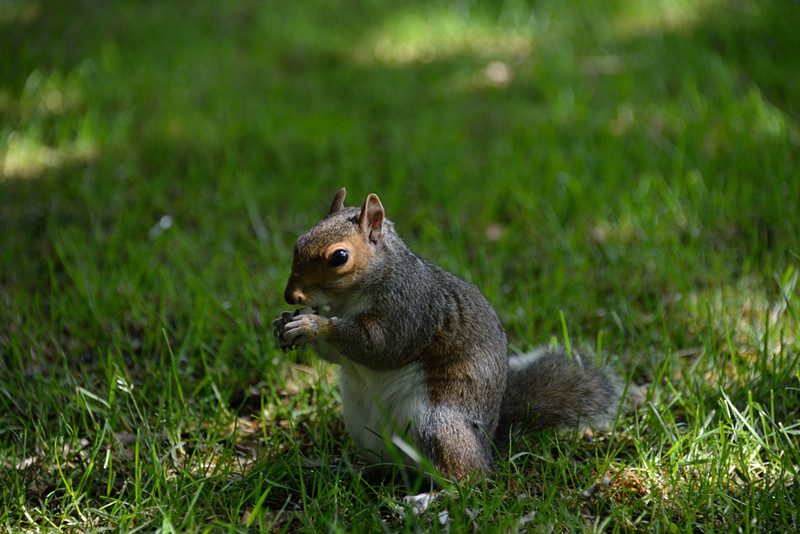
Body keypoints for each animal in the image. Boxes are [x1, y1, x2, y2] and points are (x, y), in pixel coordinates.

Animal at [274, 188, 624, 482]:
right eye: (297, 243)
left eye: (339, 257)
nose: (291, 297)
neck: (348, 300)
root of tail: (487, 448)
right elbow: (338, 354)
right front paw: (285, 323)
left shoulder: (412, 309)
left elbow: (380, 346)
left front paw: (313, 325)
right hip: (362, 426)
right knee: (386, 467)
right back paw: (343, 469)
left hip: (437, 426)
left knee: (466, 478)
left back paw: (427, 499)